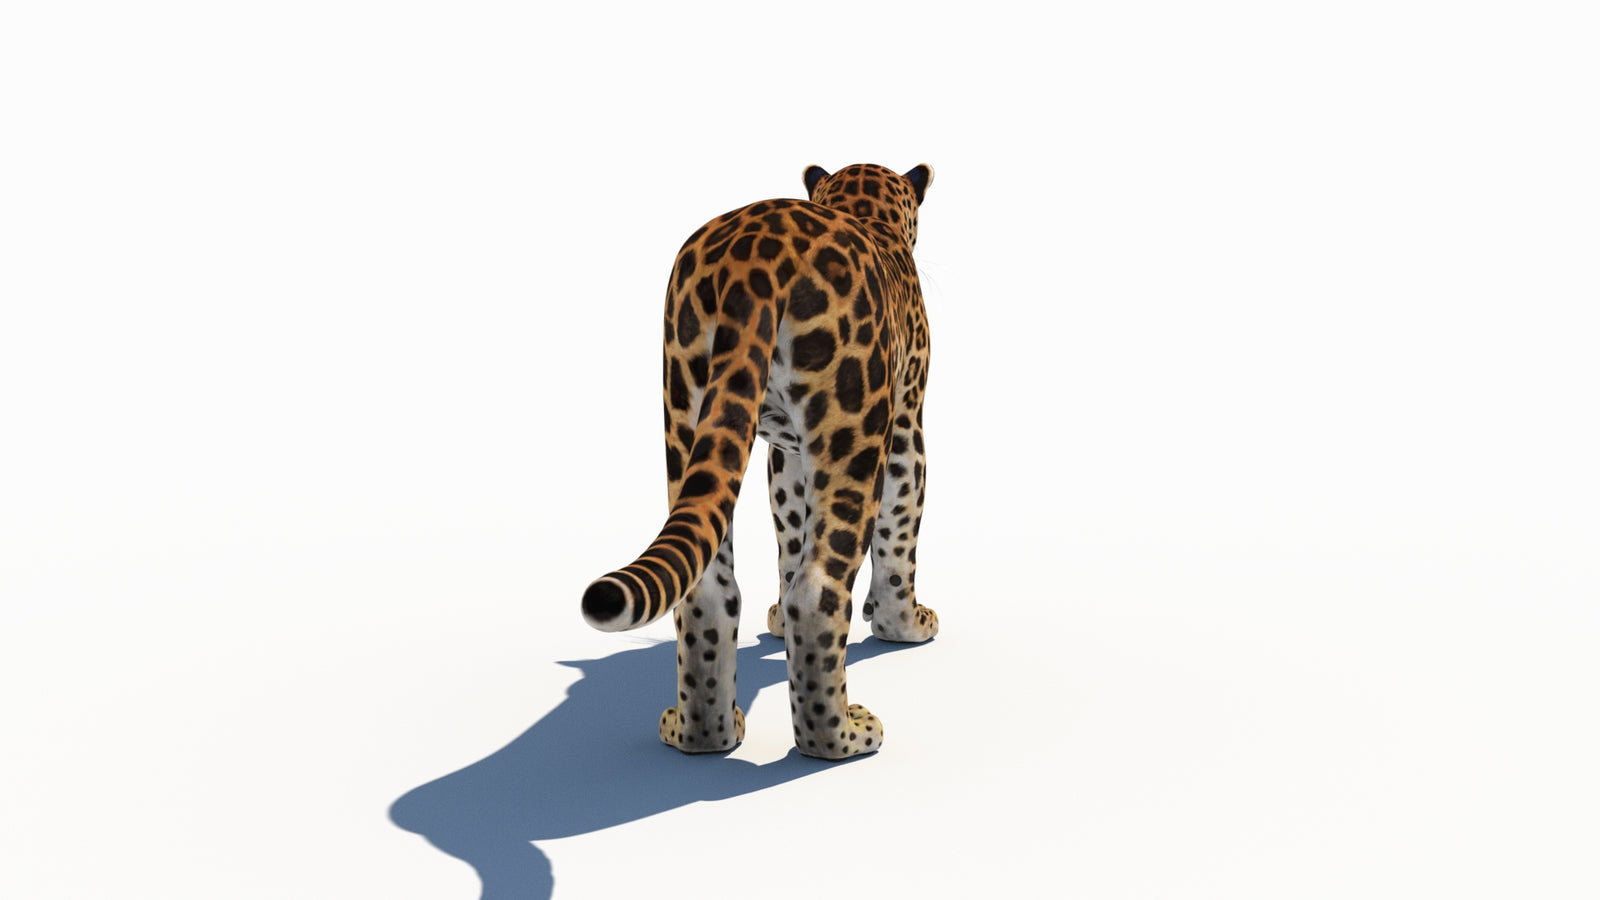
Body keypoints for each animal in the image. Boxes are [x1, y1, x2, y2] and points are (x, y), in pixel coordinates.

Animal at [580, 163, 939, 760]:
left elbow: (789, 535)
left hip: (688, 413)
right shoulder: (905, 428)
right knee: (816, 592)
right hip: (853, 428)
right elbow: (898, 537)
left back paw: (703, 733)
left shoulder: (785, 452)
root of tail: (750, 259)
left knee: (705, 589)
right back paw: (841, 737)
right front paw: (904, 625)